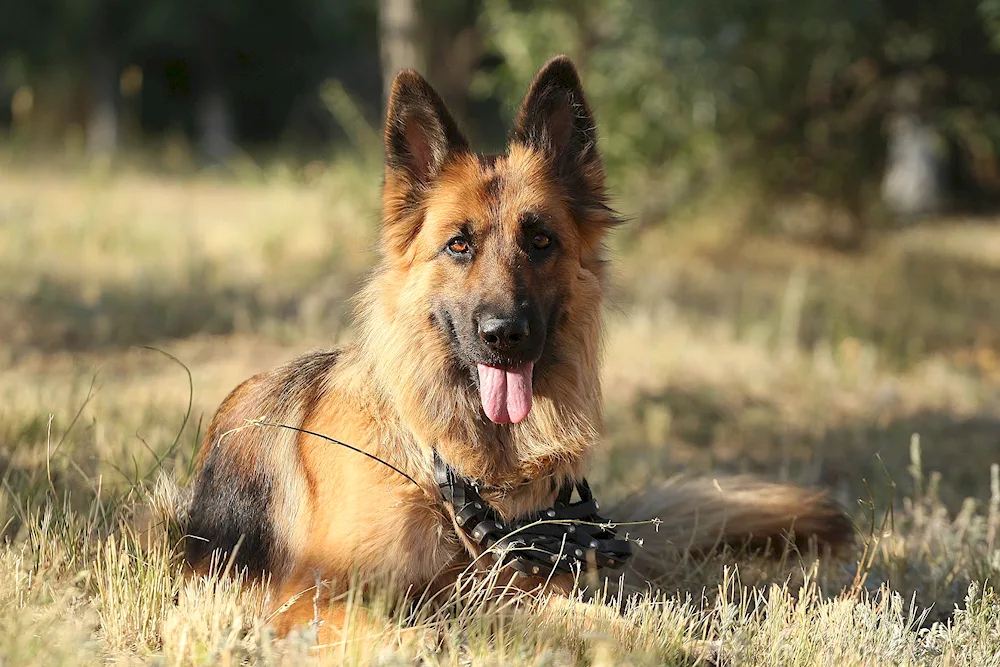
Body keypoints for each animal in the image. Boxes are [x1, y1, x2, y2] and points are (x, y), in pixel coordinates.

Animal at [182, 56, 852, 640]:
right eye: (458, 245)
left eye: (540, 241)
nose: (505, 335)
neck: (449, 471)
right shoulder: (314, 598)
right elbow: (410, 636)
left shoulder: (521, 593)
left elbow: (615, 624)